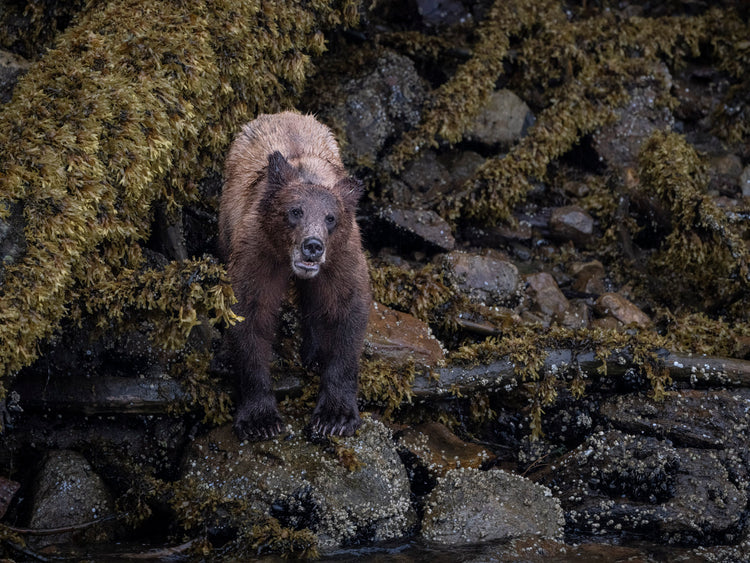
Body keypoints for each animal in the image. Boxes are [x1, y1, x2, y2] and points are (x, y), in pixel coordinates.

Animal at [218, 111, 371, 441]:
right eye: (295, 211)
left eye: (330, 218)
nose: (312, 246)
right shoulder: (258, 252)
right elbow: (248, 312)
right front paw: (260, 419)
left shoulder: (342, 258)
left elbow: (347, 311)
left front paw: (335, 416)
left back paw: (313, 352)